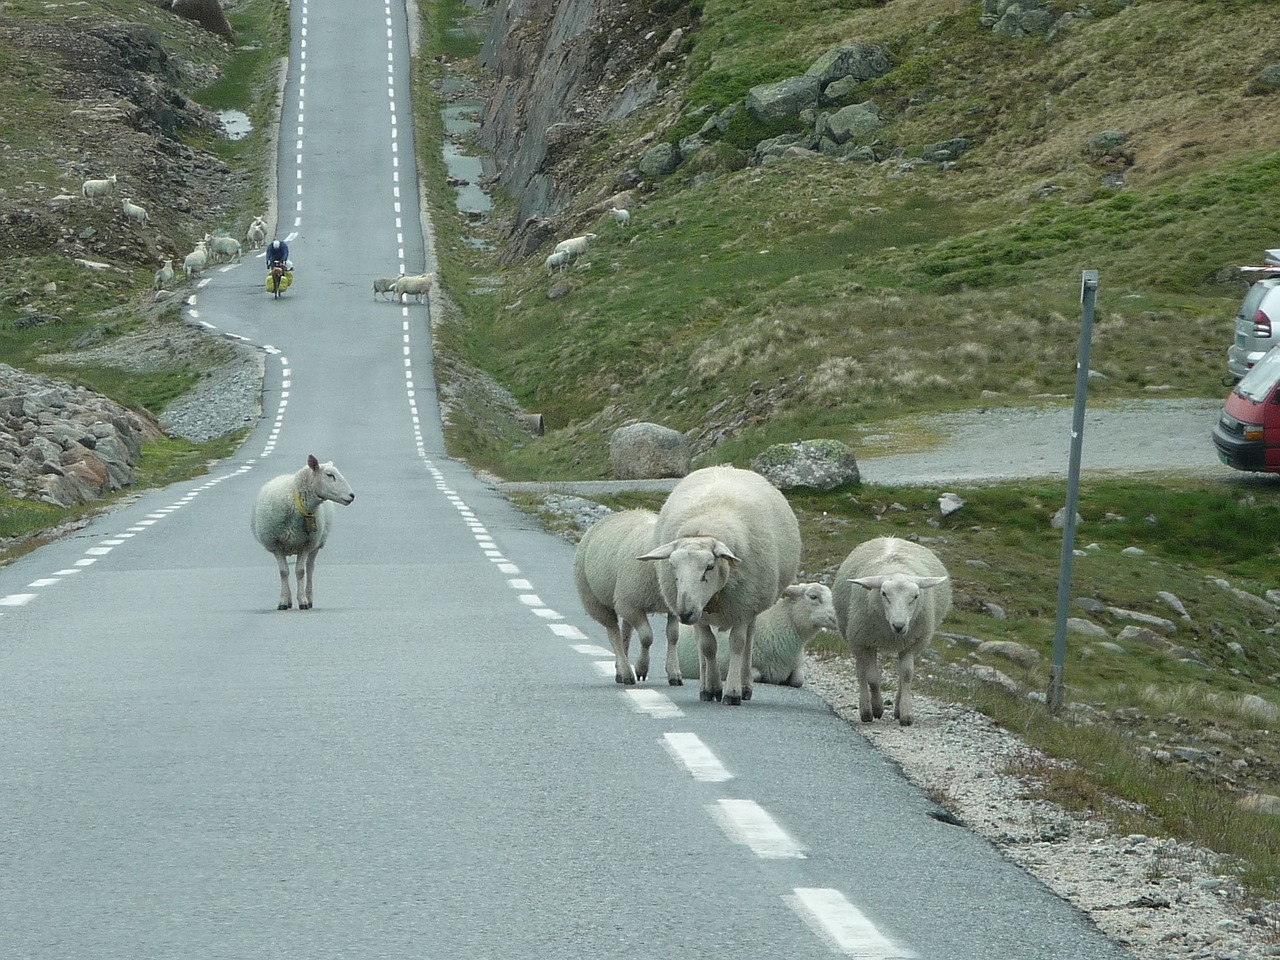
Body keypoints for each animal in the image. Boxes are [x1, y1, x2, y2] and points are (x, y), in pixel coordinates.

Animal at [249, 455, 355, 611]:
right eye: (329, 475)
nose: (352, 495)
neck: (296, 500)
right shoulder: (276, 545)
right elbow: (283, 572)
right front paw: (283, 601)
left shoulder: (306, 544)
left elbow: (300, 572)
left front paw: (303, 601)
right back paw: (289, 600)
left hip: (316, 544)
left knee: (310, 569)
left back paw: (309, 598)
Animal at [576, 512, 686, 686]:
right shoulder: (629, 605)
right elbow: (647, 637)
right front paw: (641, 668)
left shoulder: (673, 607)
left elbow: (673, 636)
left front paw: (674, 673)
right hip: (600, 602)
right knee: (614, 634)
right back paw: (626, 672)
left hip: (626, 602)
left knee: (625, 632)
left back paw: (620, 671)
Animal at [634, 465, 793, 706]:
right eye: (672, 566)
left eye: (709, 566)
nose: (684, 613)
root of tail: (726, 467)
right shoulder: (699, 611)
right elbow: (708, 647)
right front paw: (713, 687)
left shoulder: (743, 606)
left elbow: (737, 644)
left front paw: (732, 692)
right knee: (703, 645)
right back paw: (705, 686)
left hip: (753, 604)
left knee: (749, 640)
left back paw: (745, 686)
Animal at [829, 535, 952, 727]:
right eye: (884, 594)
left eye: (915, 596)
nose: (899, 626)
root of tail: (889, 537)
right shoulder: (866, 642)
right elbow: (873, 678)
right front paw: (878, 708)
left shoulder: (912, 643)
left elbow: (907, 674)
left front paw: (906, 713)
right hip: (855, 638)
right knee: (861, 672)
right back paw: (866, 710)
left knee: (901, 674)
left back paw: (896, 708)